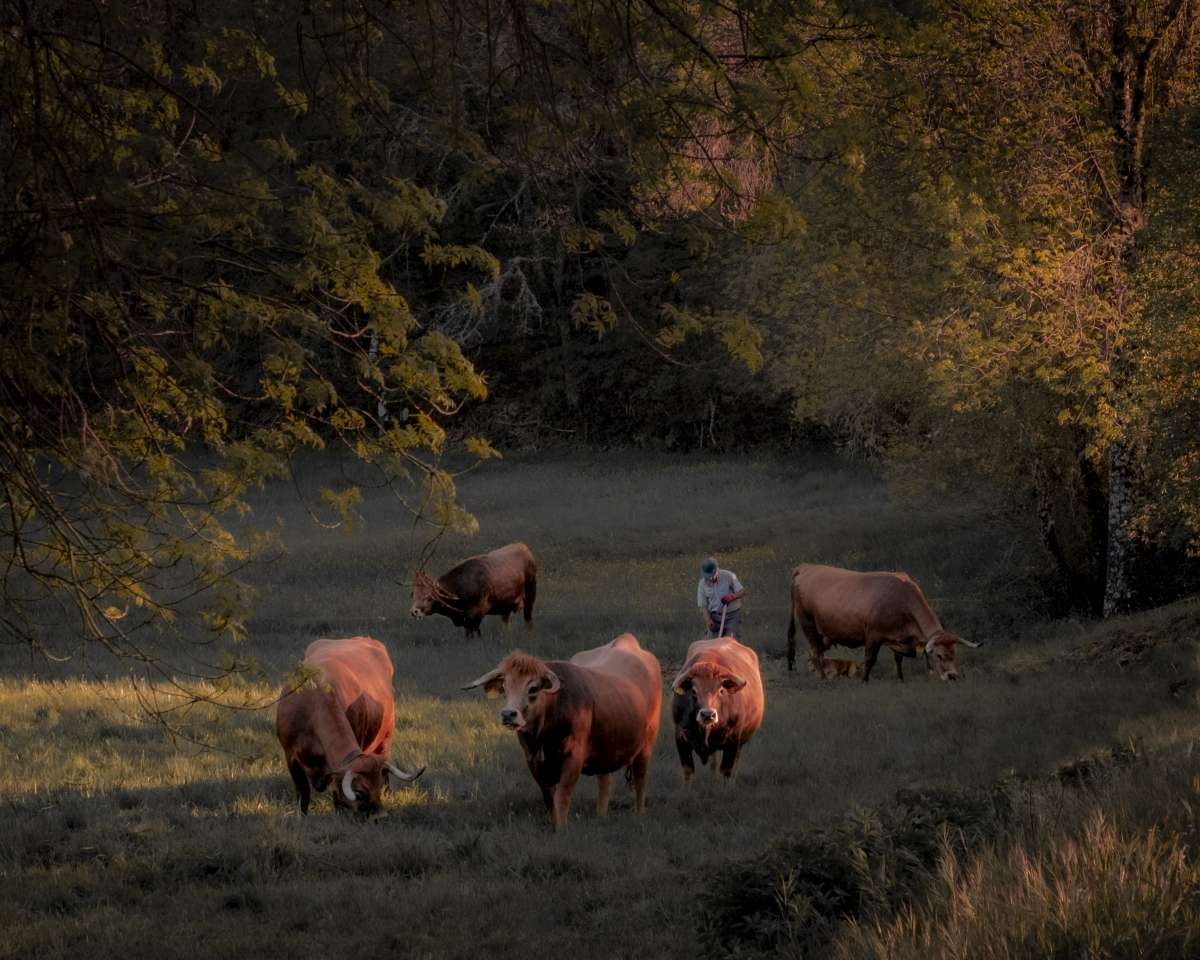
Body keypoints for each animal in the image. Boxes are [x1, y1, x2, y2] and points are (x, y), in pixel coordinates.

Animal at [274, 633, 424, 816]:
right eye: (360, 792)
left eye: (378, 787)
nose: (380, 816)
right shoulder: (290, 755)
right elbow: (303, 793)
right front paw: (301, 815)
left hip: (386, 738)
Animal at [460, 633, 667, 830]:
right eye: (504, 688)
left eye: (533, 688)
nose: (508, 714)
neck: (545, 734)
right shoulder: (532, 761)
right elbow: (549, 798)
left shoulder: (573, 759)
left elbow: (562, 796)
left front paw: (561, 828)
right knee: (604, 782)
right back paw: (601, 815)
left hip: (646, 745)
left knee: (640, 778)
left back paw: (640, 813)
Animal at [672, 633, 763, 782]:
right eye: (693, 691)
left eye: (721, 690)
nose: (708, 715)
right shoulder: (680, 737)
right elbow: (688, 772)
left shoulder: (733, 742)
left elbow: (726, 771)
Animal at [792, 561, 979, 681]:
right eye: (939, 655)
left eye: (954, 654)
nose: (952, 676)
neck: (901, 599)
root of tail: (806, 567)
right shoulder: (873, 636)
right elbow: (869, 660)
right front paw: (864, 681)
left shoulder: (900, 638)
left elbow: (898, 659)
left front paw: (900, 679)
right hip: (808, 624)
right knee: (817, 652)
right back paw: (823, 678)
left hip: (824, 635)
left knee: (816, 652)